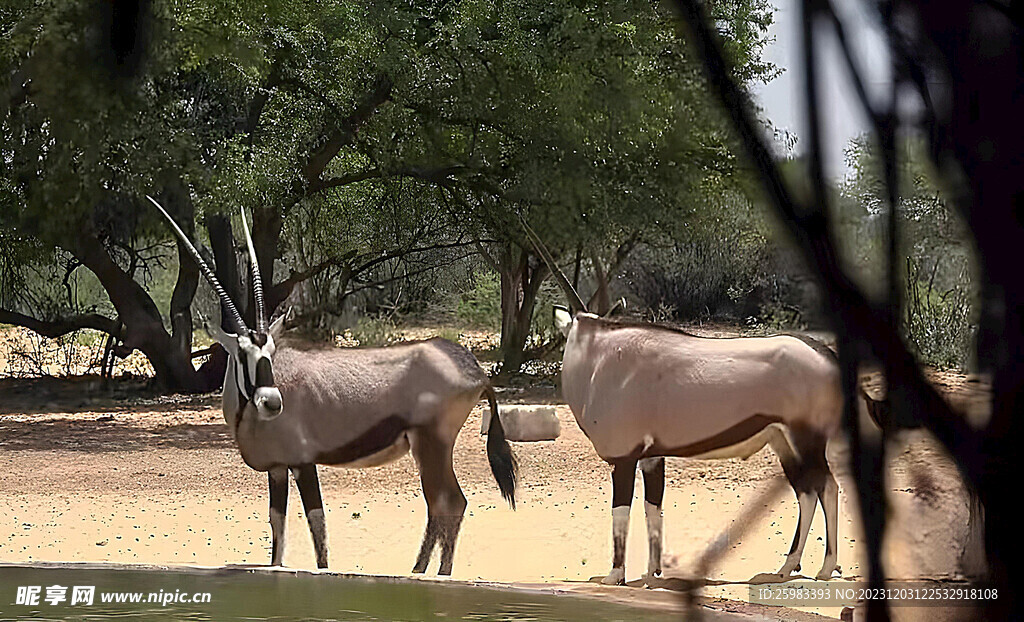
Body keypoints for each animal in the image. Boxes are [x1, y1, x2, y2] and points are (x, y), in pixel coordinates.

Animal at [148, 196, 516, 577]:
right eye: (242, 352)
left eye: (271, 352)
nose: (272, 402)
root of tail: (474, 369)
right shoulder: (278, 469)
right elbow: (277, 526)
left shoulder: (302, 463)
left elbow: (317, 523)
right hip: (427, 448)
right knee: (440, 504)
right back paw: (419, 570)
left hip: (432, 445)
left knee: (450, 502)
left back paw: (434, 573)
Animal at [520, 221, 856, 586]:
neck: (600, 355)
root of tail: (825, 354)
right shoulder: (652, 457)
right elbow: (653, 510)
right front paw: (652, 572)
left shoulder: (624, 458)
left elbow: (620, 513)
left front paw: (615, 575)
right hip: (783, 441)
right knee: (806, 493)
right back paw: (785, 567)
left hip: (806, 438)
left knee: (827, 488)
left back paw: (825, 567)